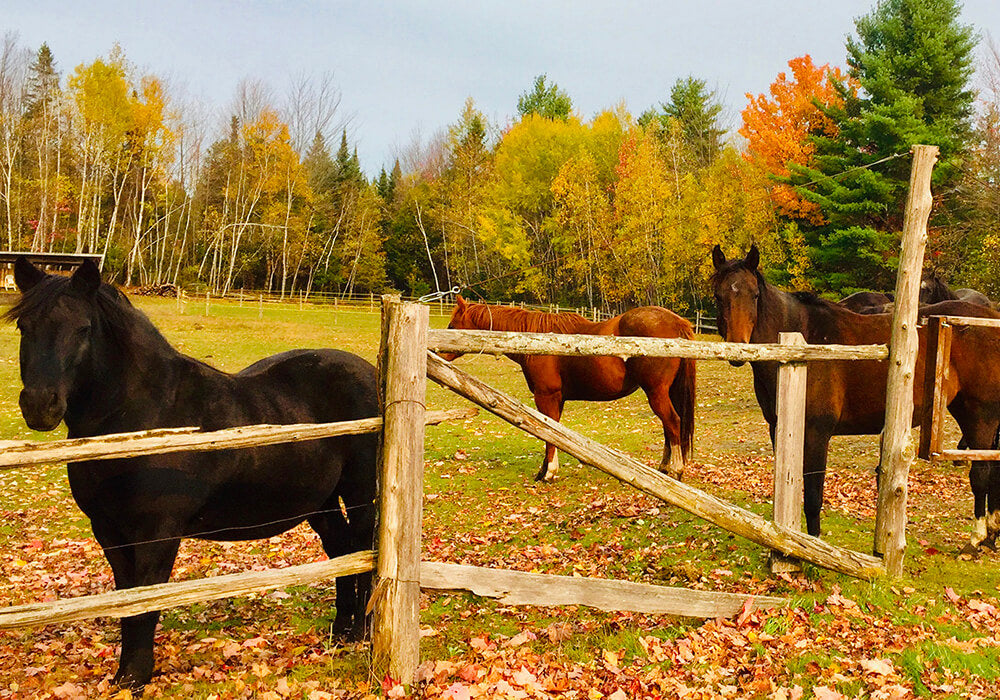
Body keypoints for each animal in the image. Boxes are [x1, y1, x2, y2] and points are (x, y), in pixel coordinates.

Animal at [5, 258, 378, 691]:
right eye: (23, 326)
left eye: (83, 328)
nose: (39, 405)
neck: (145, 418)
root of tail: (369, 372)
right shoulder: (108, 530)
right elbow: (126, 597)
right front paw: (125, 676)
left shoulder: (158, 532)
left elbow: (146, 600)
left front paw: (134, 676)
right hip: (319, 501)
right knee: (342, 553)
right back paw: (341, 632)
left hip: (360, 491)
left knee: (363, 551)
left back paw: (362, 632)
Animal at [442, 296, 696, 482]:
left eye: (453, 326)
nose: (439, 352)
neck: (535, 342)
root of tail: (676, 323)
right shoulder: (557, 399)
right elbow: (553, 432)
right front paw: (543, 470)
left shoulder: (546, 397)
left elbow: (548, 432)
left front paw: (549, 473)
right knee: (668, 427)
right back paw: (663, 468)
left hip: (656, 392)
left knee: (672, 423)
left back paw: (676, 471)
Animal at [711, 245, 1000, 548]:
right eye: (718, 296)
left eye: (754, 295)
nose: (737, 348)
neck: (803, 344)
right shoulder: (777, 429)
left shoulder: (817, 432)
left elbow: (812, 497)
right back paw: (991, 532)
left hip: (980, 415)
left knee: (981, 472)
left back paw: (977, 537)